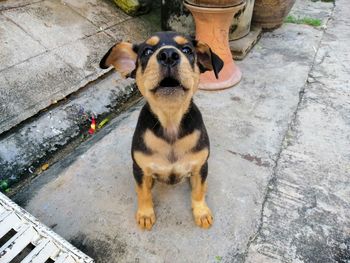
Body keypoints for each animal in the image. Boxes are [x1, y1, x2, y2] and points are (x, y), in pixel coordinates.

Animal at [100, 31, 223, 231]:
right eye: (147, 51)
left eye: (187, 50)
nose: (168, 56)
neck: (170, 121)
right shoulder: (140, 168)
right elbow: (143, 193)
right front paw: (145, 214)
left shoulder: (200, 166)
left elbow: (198, 192)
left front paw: (201, 212)